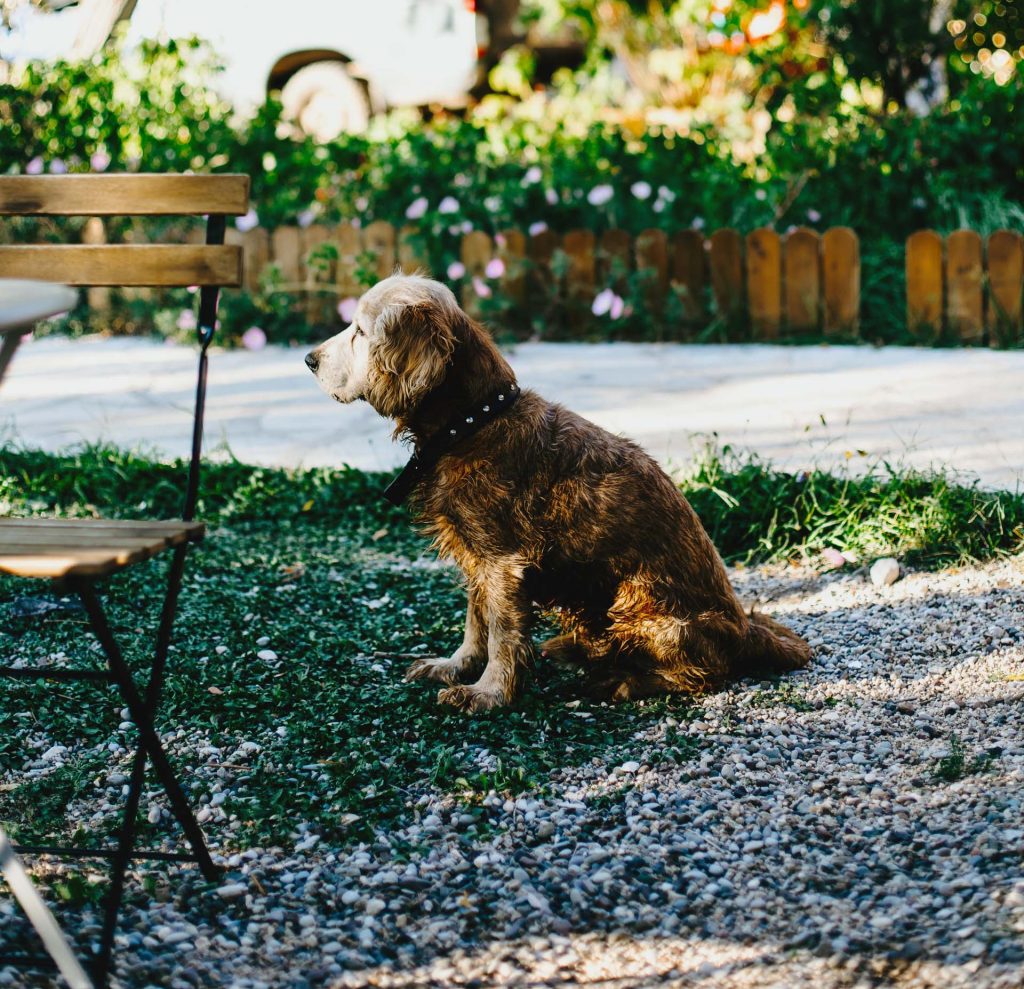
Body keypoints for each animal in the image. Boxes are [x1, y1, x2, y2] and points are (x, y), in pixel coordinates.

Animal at [305, 273, 811, 712]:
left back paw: (621, 680)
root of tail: (748, 629)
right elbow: (475, 622)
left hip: (645, 610)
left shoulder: (503, 561)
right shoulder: (476, 555)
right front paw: (456, 666)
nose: (309, 359)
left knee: (703, 674)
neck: (473, 424)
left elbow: (502, 633)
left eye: (360, 332)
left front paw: (489, 692)